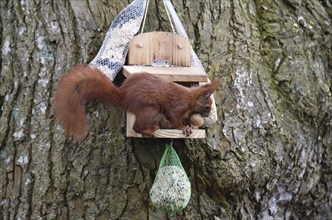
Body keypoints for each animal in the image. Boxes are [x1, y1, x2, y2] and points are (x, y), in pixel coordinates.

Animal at [54, 64, 219, 138]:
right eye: (207, 106)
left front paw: (189, 124)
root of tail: (124, 97)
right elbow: (173, 117)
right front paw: (183, 127)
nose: (208, 115)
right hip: (149, 109)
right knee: (136, 126)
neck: (191, 98)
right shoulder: (178, 105)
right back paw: (149, 130)